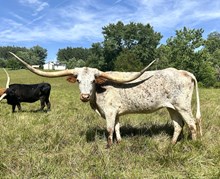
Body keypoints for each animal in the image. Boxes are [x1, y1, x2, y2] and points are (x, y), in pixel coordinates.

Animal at [9, 51, 202, 147]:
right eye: (78, 80)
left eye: (93, 81)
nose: (85, 96)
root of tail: (184, 72)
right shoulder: (115, 113)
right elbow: (117, 128)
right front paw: (119, 143)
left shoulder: (109, 112)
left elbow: (109, 129)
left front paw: (108, 147)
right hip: (172, 107)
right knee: (178, 125)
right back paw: (171, 144)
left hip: (183, 106)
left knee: (192, 124)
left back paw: (193, 146)